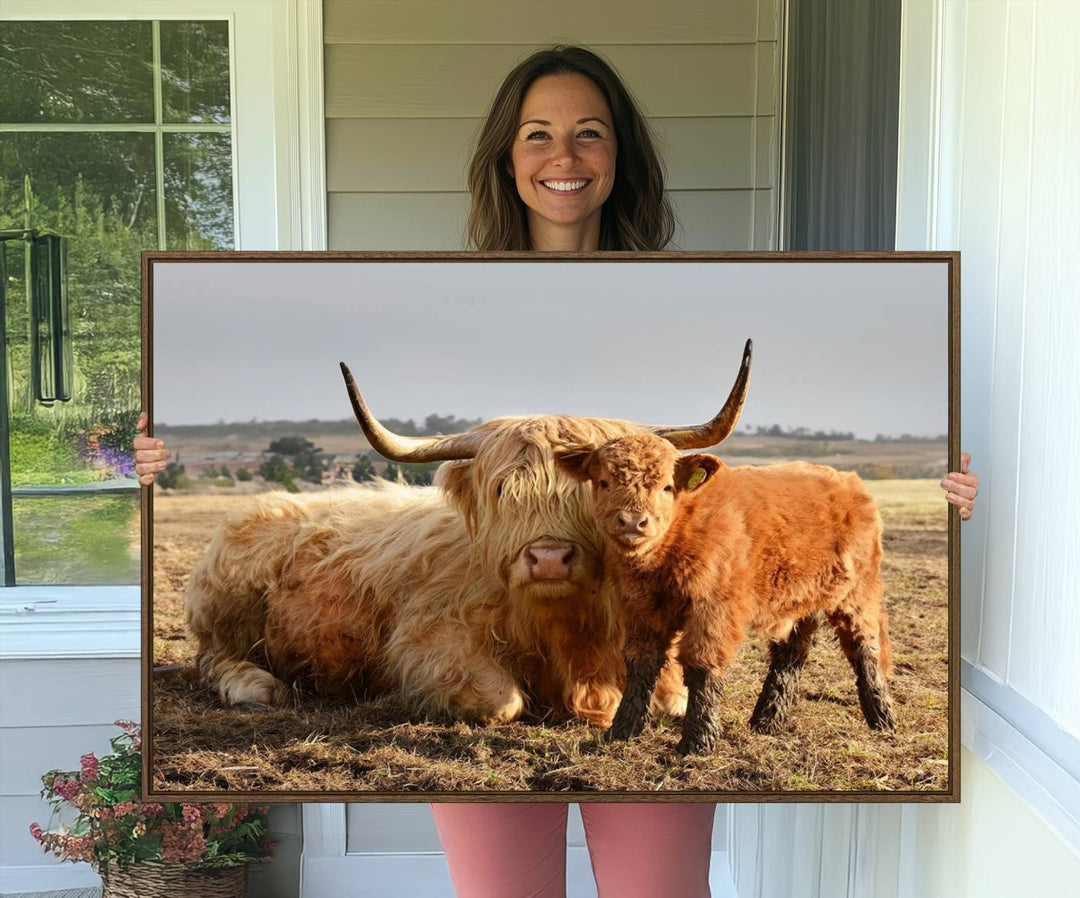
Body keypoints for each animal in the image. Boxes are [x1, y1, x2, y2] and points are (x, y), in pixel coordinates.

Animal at [557, 432, 894, 756]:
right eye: (604, 482)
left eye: (667, 486)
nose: (632, 522)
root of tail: (849, 481)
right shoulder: (641, 607)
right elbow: (641, 662)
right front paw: (621, 732)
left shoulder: (714, 608)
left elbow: (701, 665)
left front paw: (698, 741)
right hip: (799, 600)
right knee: (791, 654)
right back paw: (766, 720)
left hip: (856, 594)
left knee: (864, 647)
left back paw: (882, 719)